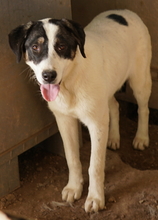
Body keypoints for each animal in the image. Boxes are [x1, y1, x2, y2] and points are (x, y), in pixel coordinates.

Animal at [8, 10, 152, 213]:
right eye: (35, 47)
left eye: (61, 46)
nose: (48, 76)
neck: (70, 82)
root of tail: (124, 11)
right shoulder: (64, 120)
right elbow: (72, 158)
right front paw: (74, 187)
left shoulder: (96, 124)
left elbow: (95, 166)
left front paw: (95, 198)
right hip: (108, 90)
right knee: (114, 106)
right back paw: (114, 137)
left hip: (140, 80)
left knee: (143, 109)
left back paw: (141, 138)